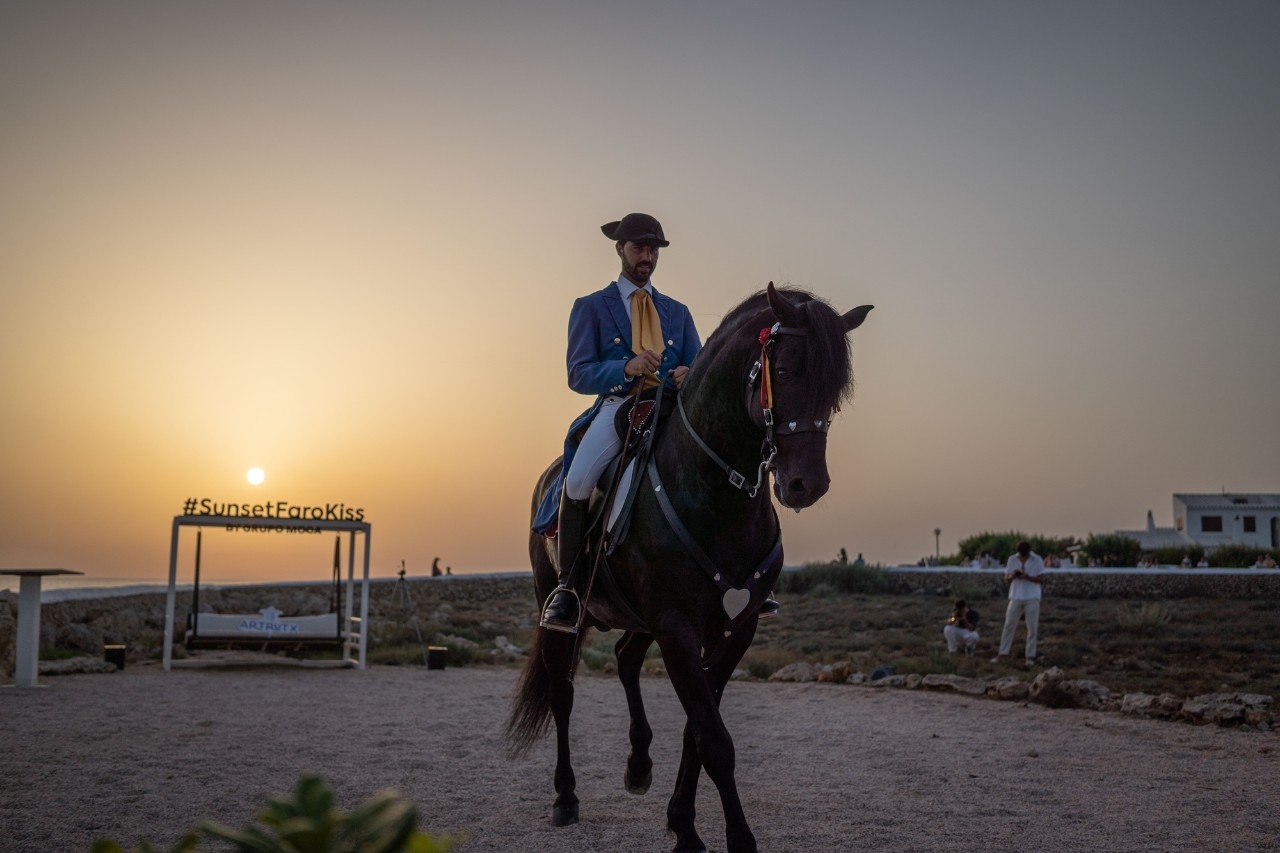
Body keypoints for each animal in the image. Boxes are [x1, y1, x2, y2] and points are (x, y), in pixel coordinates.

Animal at [506, 284, 870, 850]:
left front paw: (683, 823)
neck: (714, 491)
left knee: (625, 658)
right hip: (563, 610)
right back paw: (565, 797)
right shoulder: (677, 628)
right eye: (787, 371)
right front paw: (735, 838)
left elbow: (698, 730)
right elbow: (714, 739)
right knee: (562, 694)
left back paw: (638, 764)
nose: (805, 484)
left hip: (638, 618)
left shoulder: (733, 629)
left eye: (836, 388)